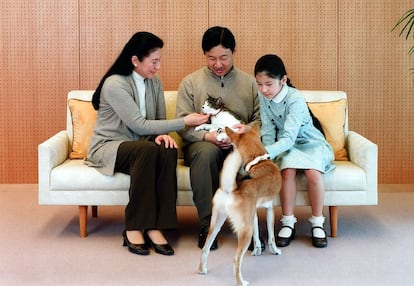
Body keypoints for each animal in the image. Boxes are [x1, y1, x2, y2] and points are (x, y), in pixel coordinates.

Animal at [199, 127, 284, 286]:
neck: (258, 161)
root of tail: (232, 188)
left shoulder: (253, 214)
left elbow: (257, 237)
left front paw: (257, 250)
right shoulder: (269, 209)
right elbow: (271, 237)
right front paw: (275, 250)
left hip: (218, 223)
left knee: (205, 248)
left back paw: (202, 269)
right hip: (245, 230)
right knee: (236, 260)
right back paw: (241, 282)